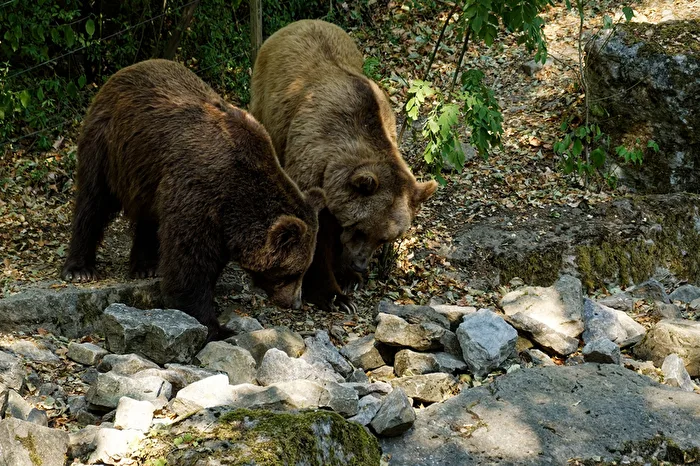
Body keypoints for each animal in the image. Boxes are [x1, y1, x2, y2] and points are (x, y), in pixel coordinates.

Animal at [61, 58, 325, 339]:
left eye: (305, 270)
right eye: (292, 272)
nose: (295, 302)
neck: (237, 195)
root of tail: (127, 70)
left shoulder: (220, 218)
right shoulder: (199, 192)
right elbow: (190, 263)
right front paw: (216, 326)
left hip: (147, 174)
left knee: (147, 217)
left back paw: (146, 266)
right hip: (109, 146)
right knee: (93, 201)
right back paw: (80, 269)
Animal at [249, 19, 438, 312]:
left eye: (385, 238)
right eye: (361, 229)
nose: (360, 264)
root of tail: (301, 22)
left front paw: (350, 278)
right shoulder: (311, 166)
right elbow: (317, 237)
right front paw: (335, 295)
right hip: (266, 100)